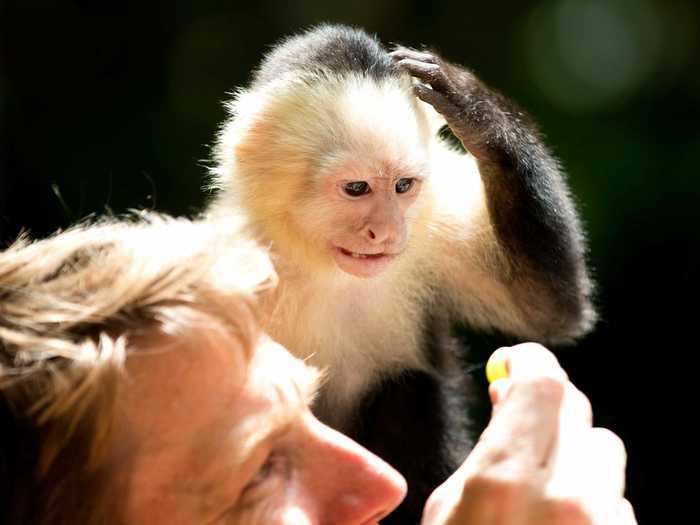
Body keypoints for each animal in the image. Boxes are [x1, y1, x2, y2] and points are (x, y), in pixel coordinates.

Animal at [205, 25, 592, 524]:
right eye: (357, 188)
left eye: (403, 186)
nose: (386, 231)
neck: (326, 268)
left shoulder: (433, 224)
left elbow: (549, 310)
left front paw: (476, 110)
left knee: (407, 383)